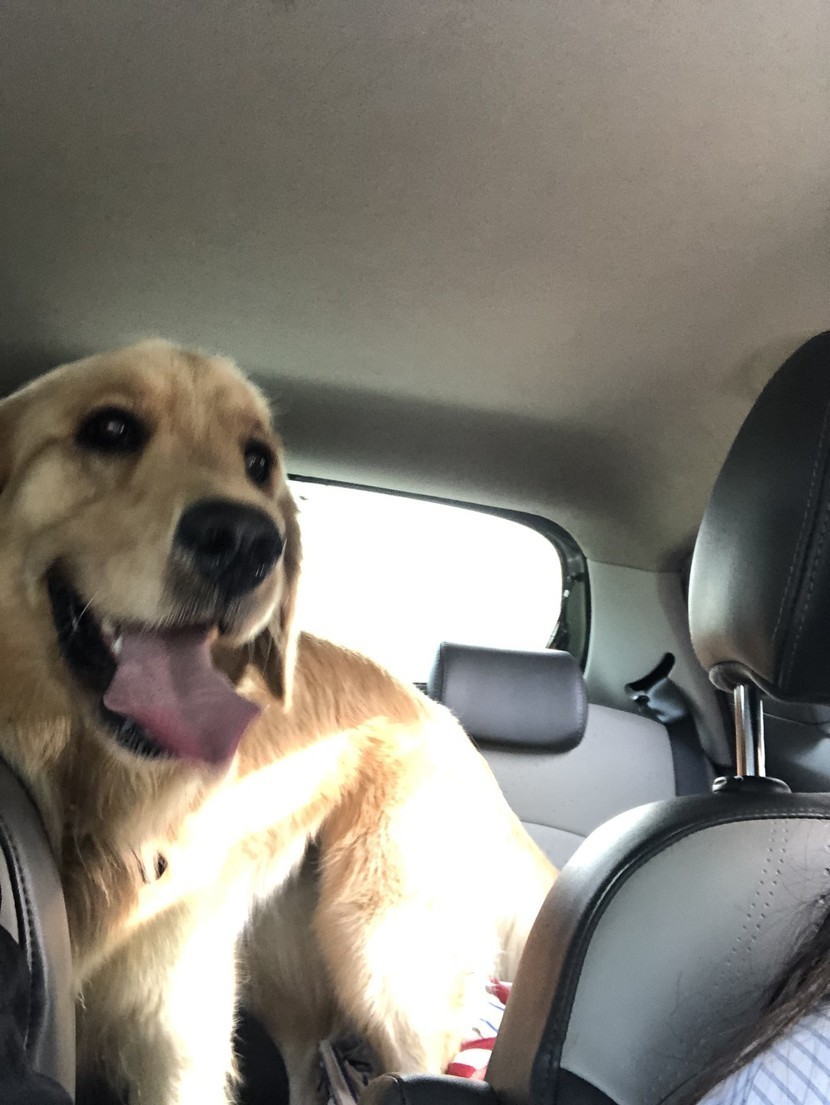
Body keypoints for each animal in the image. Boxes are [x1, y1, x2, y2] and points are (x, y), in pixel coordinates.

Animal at [0, 340, 556, 1105]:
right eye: (109, 428)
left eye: (258, 461)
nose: (243, 540)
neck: (99, 805)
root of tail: (445, 720)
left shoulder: (174, 1040)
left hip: (379, 953)